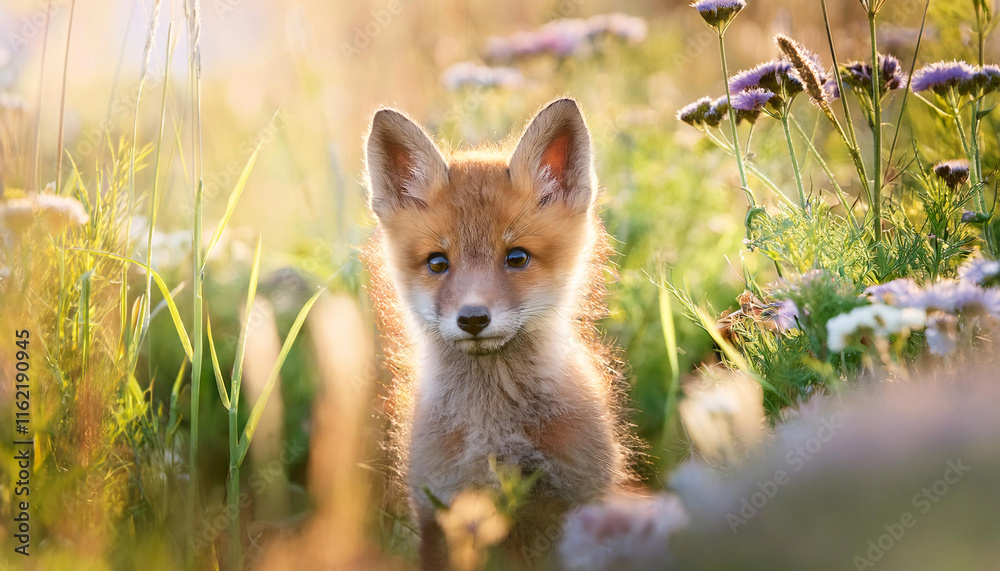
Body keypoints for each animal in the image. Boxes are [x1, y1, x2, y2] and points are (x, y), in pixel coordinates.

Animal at [363, 98, 633, 569]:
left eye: (517, 257)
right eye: (437, 263)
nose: (473, 319)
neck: (494, 430)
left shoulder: (580, 495)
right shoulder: (439, 506)